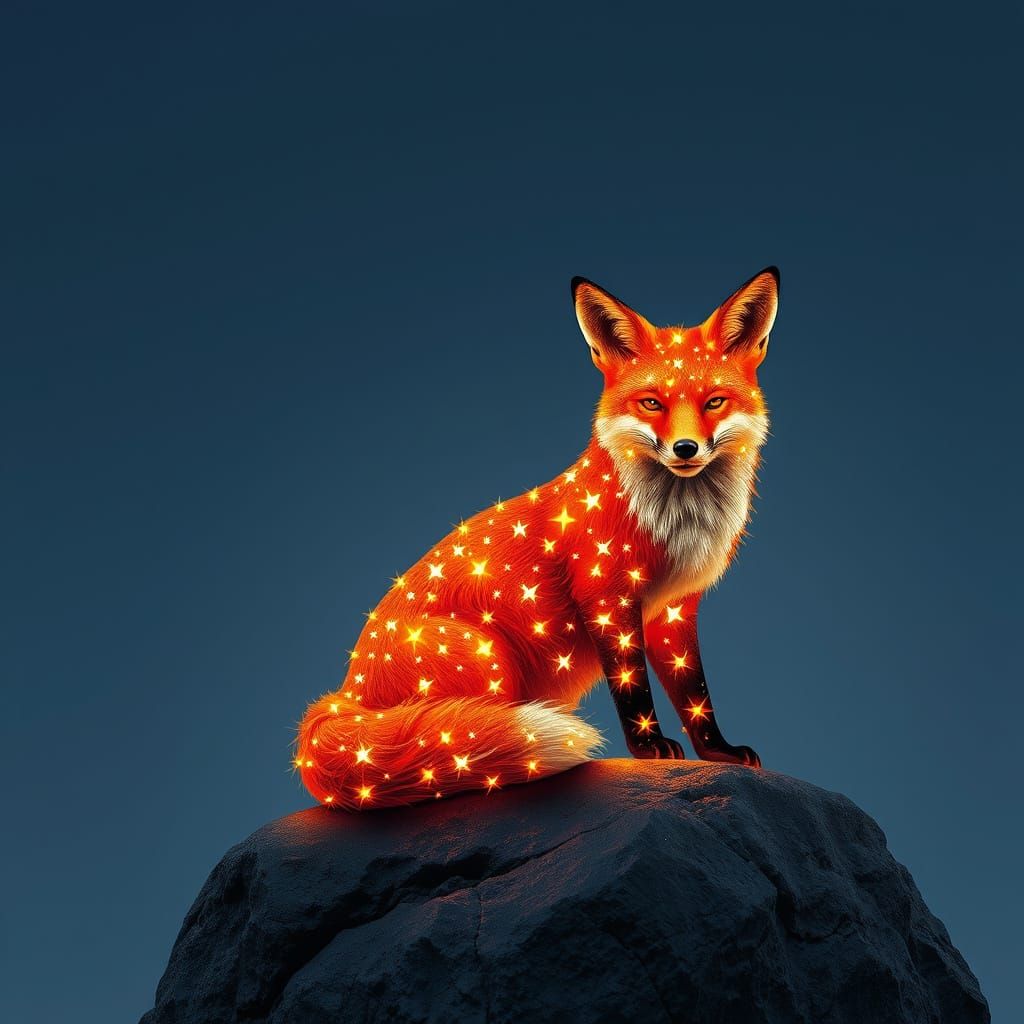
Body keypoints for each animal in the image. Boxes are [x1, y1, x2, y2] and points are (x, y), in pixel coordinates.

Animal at [295, 267, 779, 810]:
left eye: (714, 401)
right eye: (652, 403)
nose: (685, 448)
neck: (676, 521)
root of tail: (344, 694)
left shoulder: (675, 609)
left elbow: (695, 692)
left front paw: (717, 751)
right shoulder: (605, 596)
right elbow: (632, 688)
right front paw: (648, 748)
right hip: (486, 659)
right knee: (459, 746)